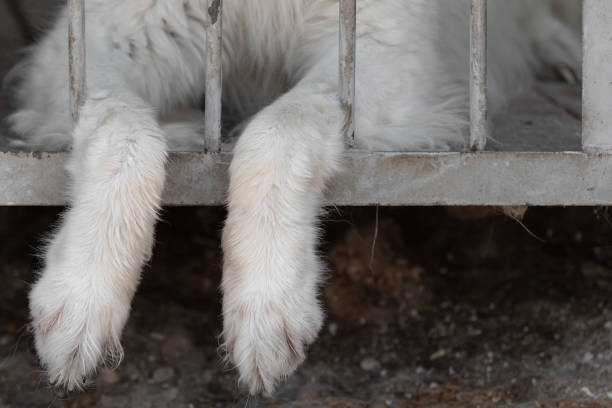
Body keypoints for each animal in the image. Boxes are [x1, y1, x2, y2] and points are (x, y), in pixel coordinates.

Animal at [8, 0, 580, 396]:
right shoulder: (96, 40)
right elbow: (122, 130)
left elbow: (277, 129)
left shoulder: (379, 47)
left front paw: (268, 301)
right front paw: (81, 295)